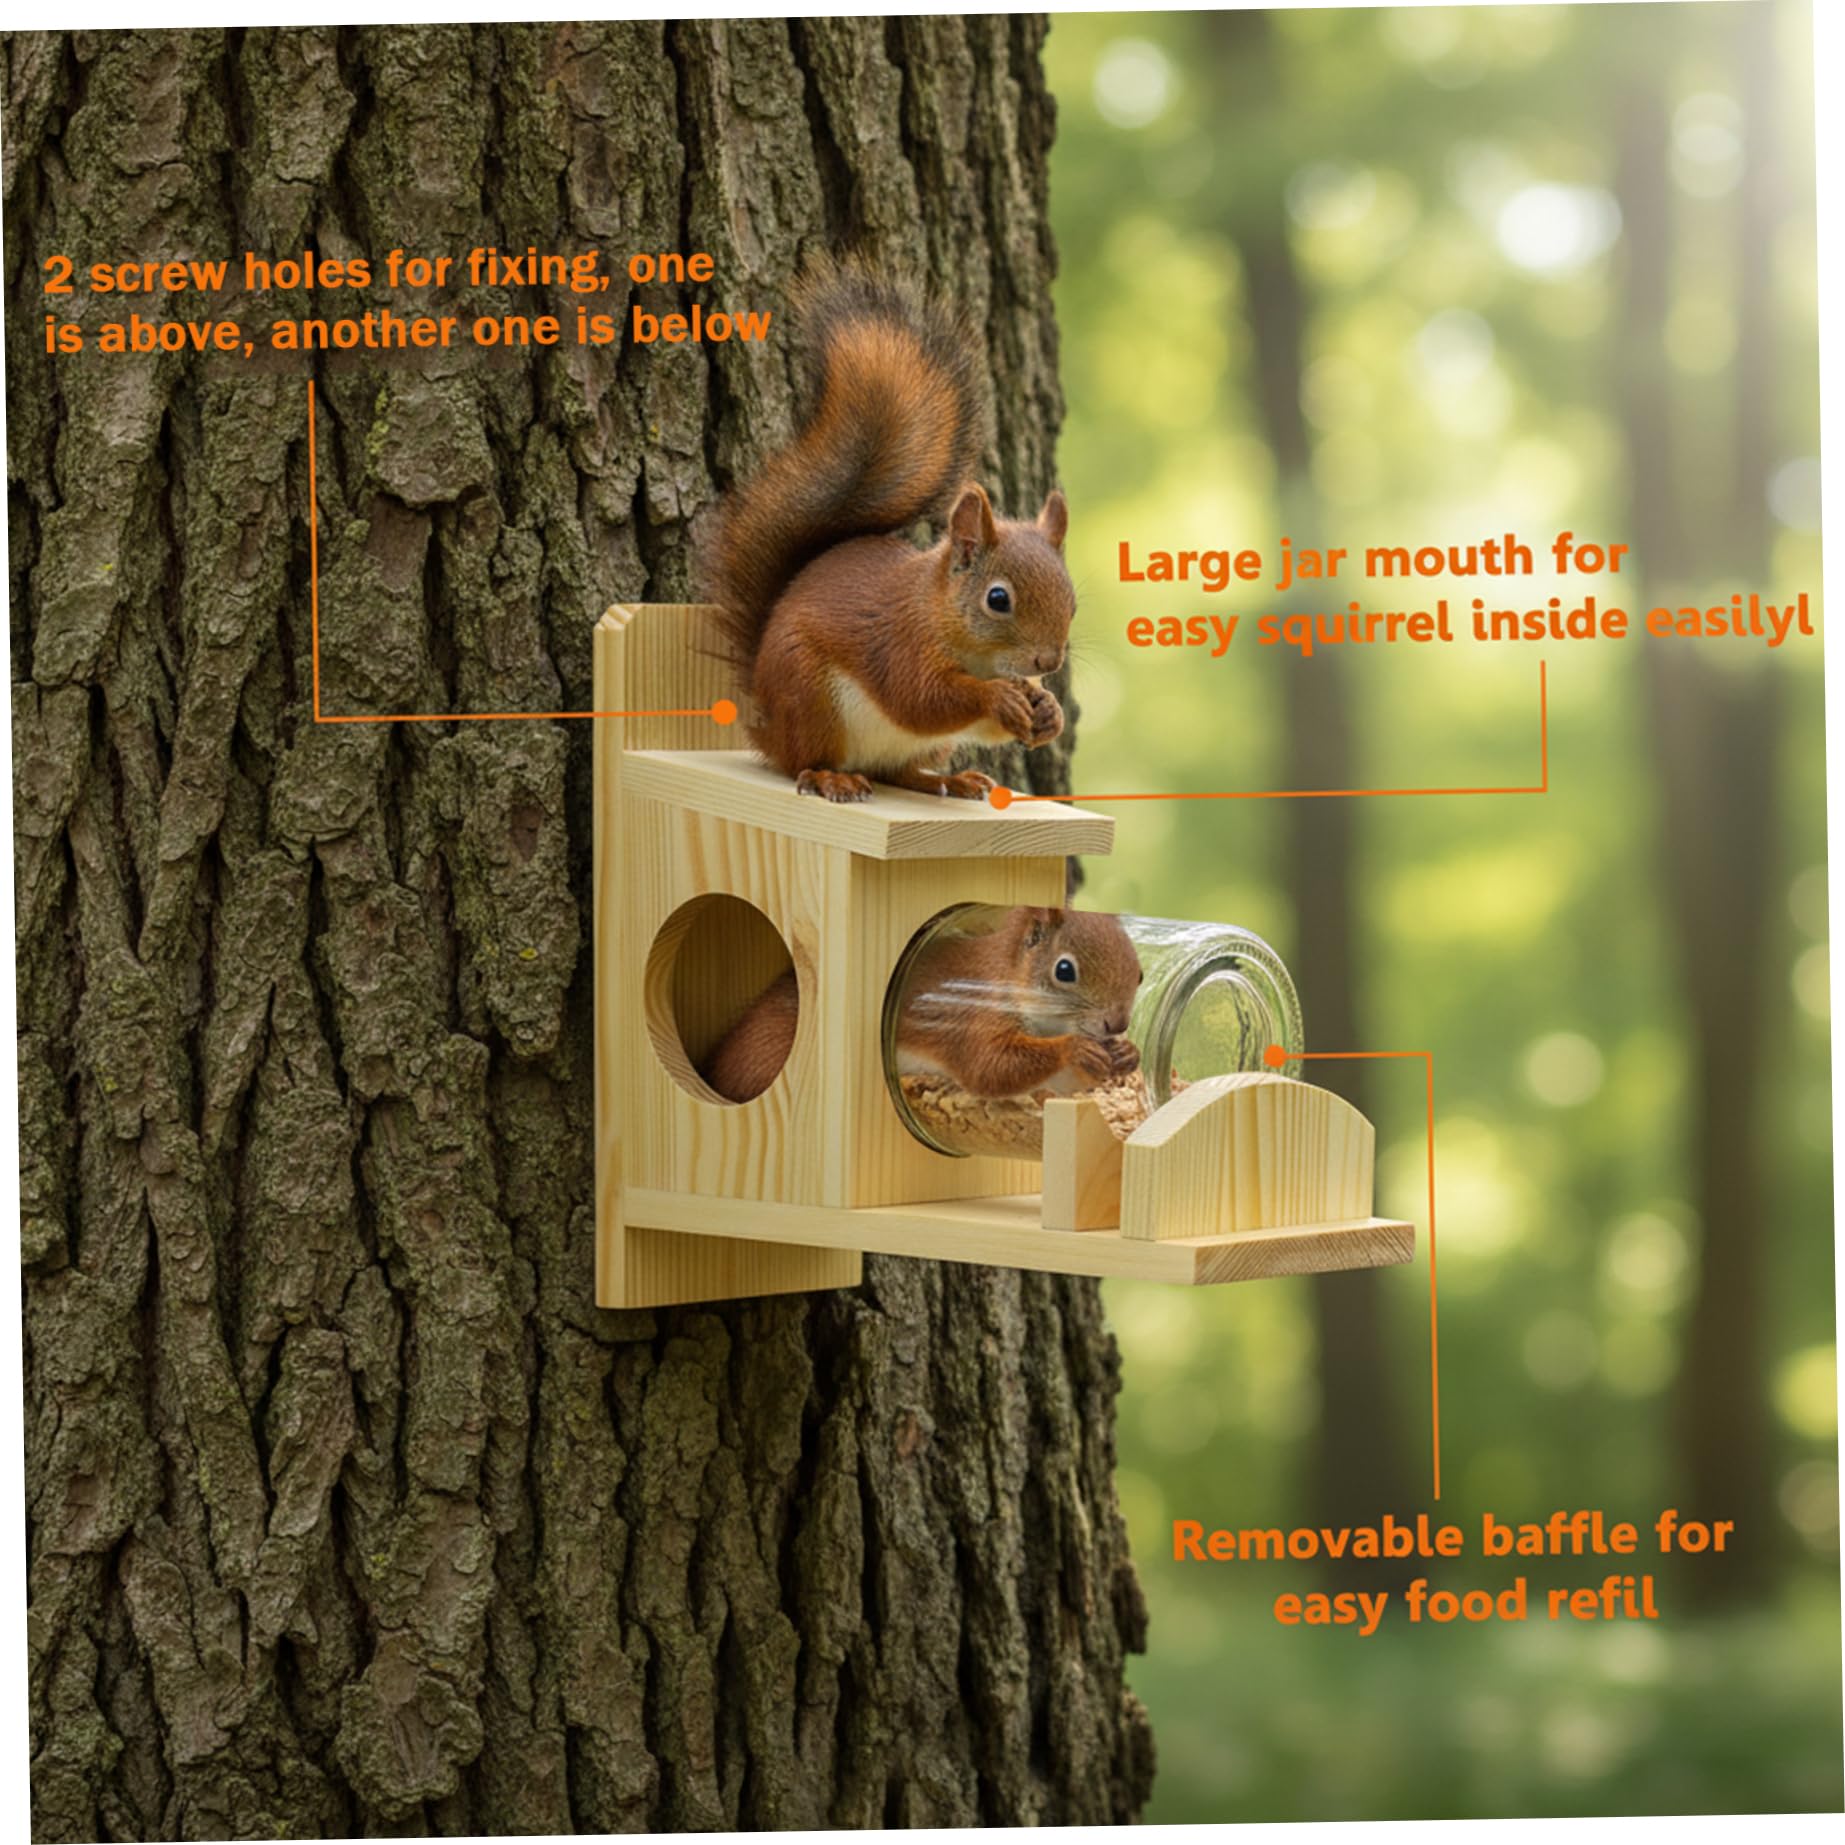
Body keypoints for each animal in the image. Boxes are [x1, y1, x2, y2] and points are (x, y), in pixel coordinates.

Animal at [697, 909, 1142, 1107]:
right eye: (1064, 970)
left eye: (1138, 973)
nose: (1117, 1022)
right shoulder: (973, 1019)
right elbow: (990, 1068)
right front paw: (1075, 1048)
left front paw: (1126, 1053)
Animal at [701, 261, 1075, 803]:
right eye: (998, 599)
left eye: (1072, 602)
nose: (1047, 661)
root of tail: (765, 724)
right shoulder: (899, 642)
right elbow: (921, 699)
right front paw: (999, 698)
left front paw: (1048, 710)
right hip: (810, 696)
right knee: (802, 761)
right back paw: (831, 777)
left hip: (920, 745)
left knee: (897, 771)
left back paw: (948, 779)